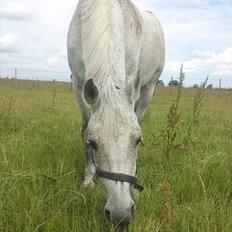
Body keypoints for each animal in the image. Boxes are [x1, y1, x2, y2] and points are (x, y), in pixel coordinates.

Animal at [67, 0, 165, 225]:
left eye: (137, 141)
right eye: (92, 143)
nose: (122, 214)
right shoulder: (77, 83)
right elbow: (85, 126)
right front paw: (88, 179)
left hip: (149, 87)